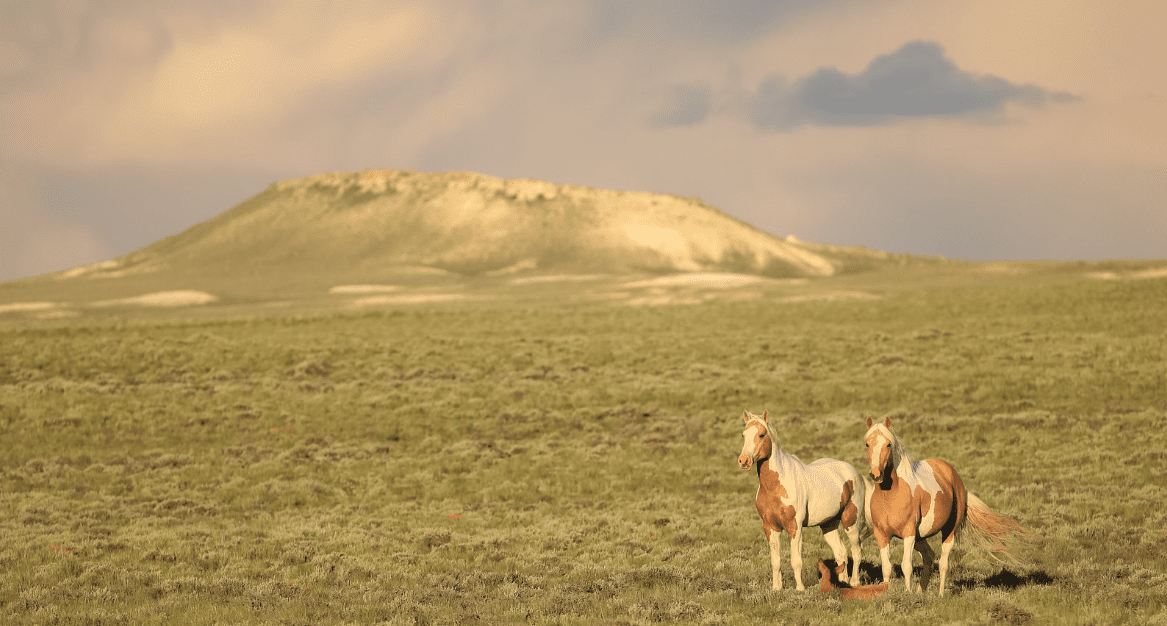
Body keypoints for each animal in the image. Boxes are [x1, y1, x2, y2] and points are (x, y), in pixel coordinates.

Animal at [738, 410, 865, 591]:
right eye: (743, 435)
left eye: (762, 434)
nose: (744, 461)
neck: (776, 486)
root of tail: (855, 473)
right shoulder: (770, 527)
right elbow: (775, 561)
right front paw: (776, 589)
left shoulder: (795, 527)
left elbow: (795, 560)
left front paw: (800, 589)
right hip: (829, 525)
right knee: (841, 553)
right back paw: (842, 584)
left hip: (850, 522)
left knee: (856, 550)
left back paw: (854, 582)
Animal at [863, 415, 1030, 595]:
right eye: (867, 444)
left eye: (888, 444)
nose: (876, 474)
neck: (891, 495)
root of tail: (953, 475)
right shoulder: (881, 535)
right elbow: (886, 568)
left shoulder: (908, 534)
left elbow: (906, 566)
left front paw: (907, 594)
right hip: (921, 537)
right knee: (929, 557)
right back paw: (920, 592)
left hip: (948, 531)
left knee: (943, 563)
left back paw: (941, 594)